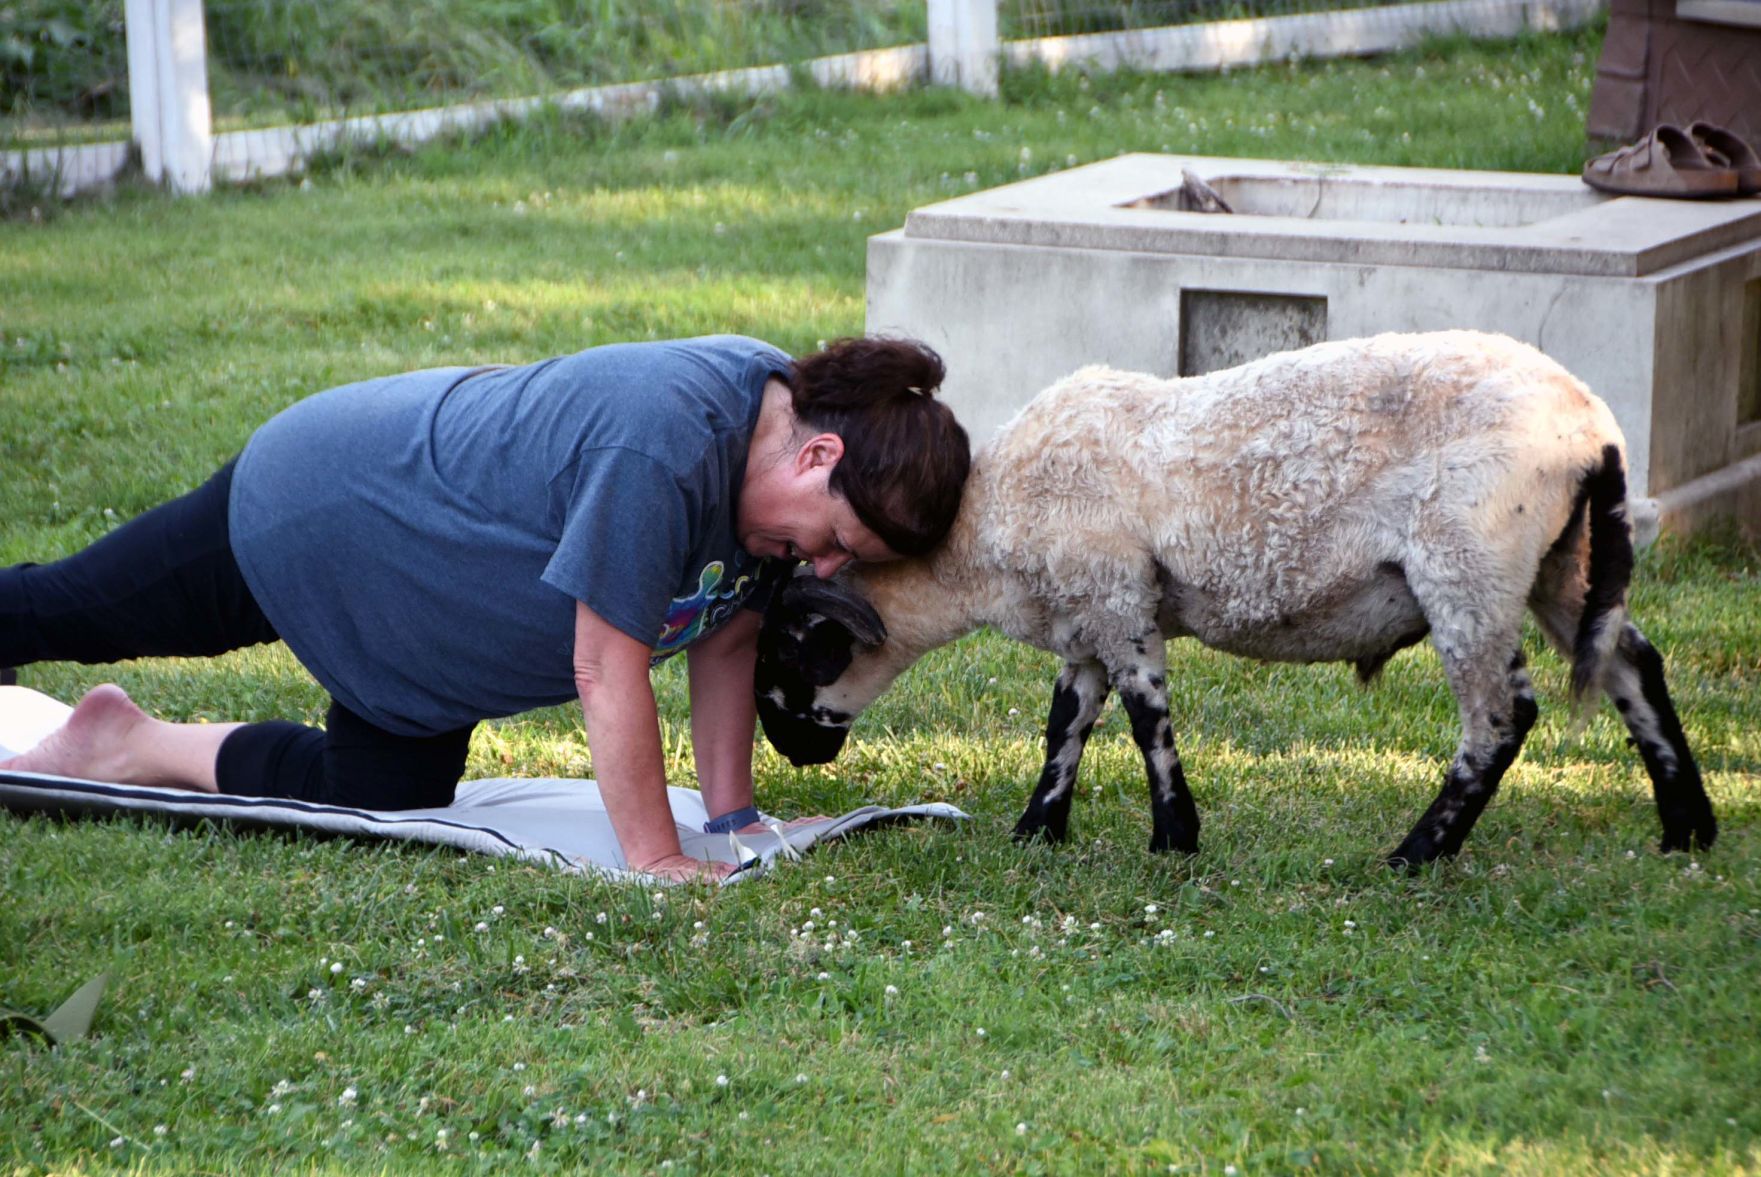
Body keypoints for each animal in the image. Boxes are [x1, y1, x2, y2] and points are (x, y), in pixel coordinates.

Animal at [760, 331, 1718, 863]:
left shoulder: (1117, 599)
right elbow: (1066, 721)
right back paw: (1687, 829)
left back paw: (1414, 854)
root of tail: (1591, 425)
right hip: (1561, 557)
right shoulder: (1085, 616)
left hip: (1470, 563)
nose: (793, 753)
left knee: (1499, 716)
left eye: (793, 654)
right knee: (1631, 665)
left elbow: (1145, 717)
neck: (981, 533)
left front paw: (1172, 839)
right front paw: (1037, 829)